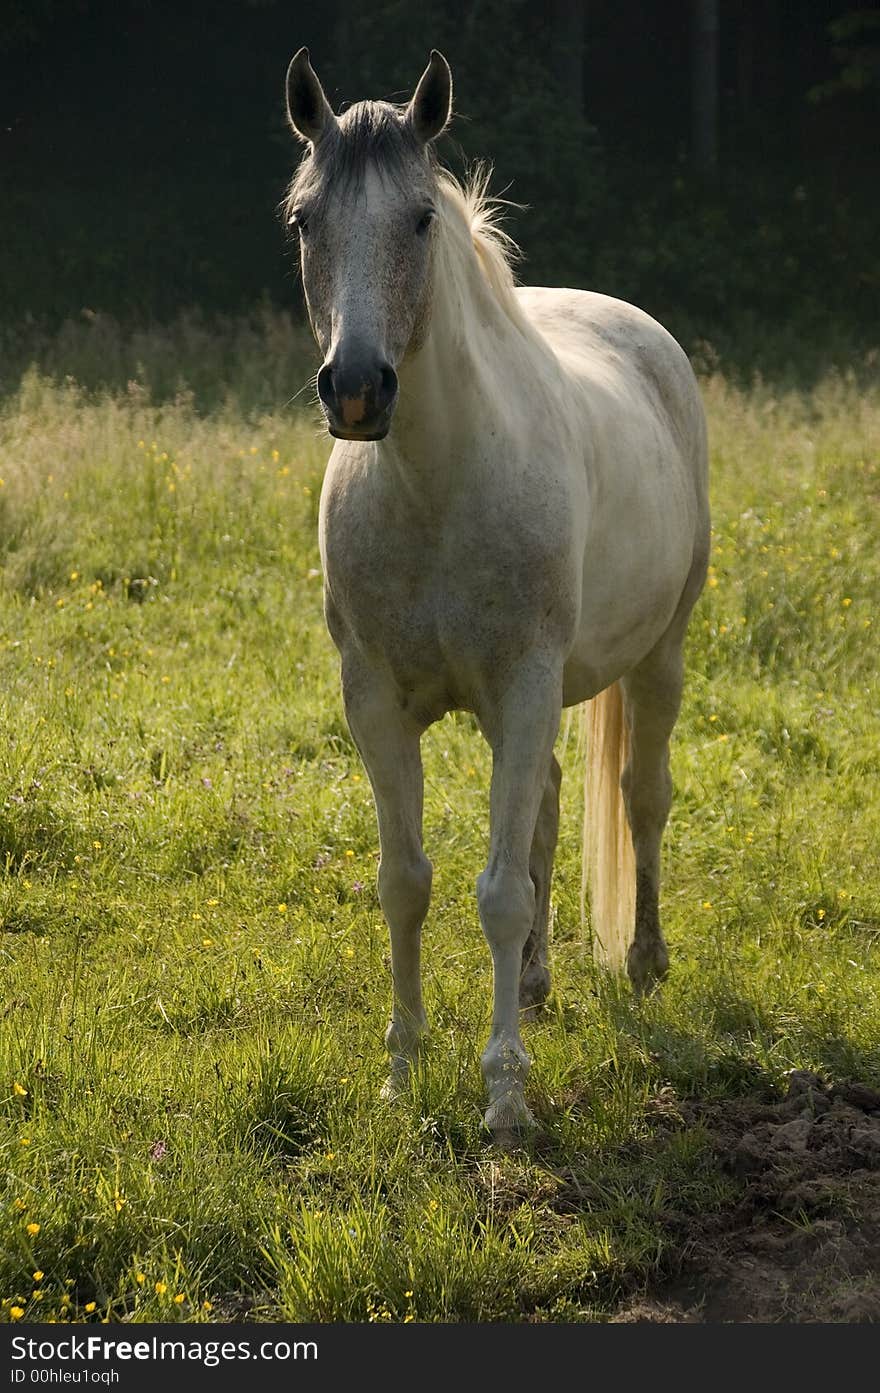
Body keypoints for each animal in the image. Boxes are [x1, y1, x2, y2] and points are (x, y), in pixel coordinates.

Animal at [285, 49, 712, 1136]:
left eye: (419, 220)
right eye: (305, 219)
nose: (357, 389)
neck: (436, 486)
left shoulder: (523, 687)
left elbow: (499, 891)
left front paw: (505, 1096)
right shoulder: (375, 701)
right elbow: (407, 880)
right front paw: (401, 1069)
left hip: (658, 656)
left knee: (641, 796)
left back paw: (643, 962)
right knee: (552, 808)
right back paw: (533, 980)